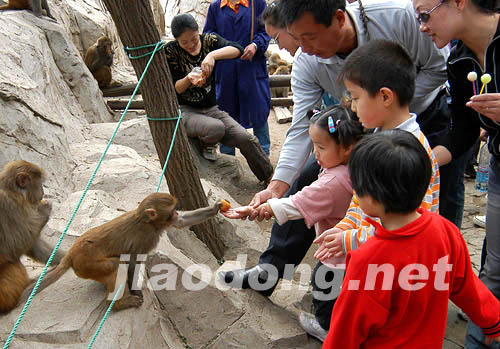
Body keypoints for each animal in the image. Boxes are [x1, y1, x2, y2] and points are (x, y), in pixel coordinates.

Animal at [0, 159, 63, 312]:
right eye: (39, 182)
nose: (43, 191)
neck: (13, 192)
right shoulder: (9, 205)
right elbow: (12, 246)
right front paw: (43, 209)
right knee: (12, 263)